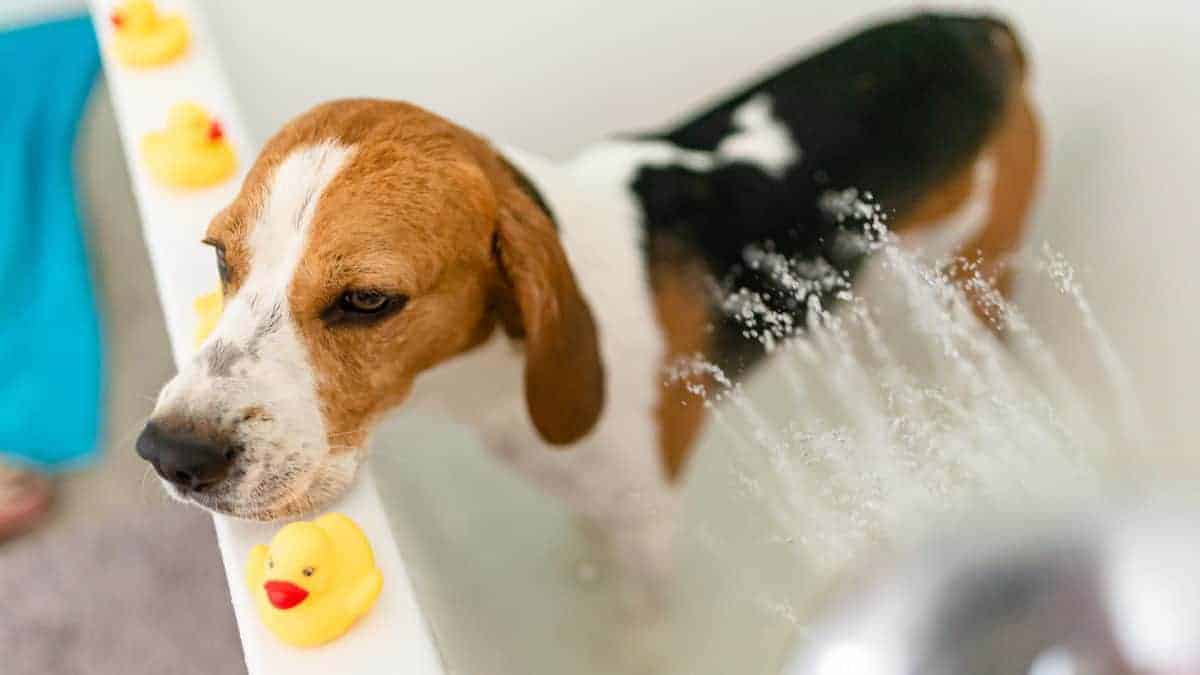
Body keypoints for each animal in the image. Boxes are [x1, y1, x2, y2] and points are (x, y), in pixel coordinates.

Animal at [136, 11, 1041, 578]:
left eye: (367, 300)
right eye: (219, 257)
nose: (170, 452)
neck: (502, 373)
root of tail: (974, 28)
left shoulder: (646, 531)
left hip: (976, 271)